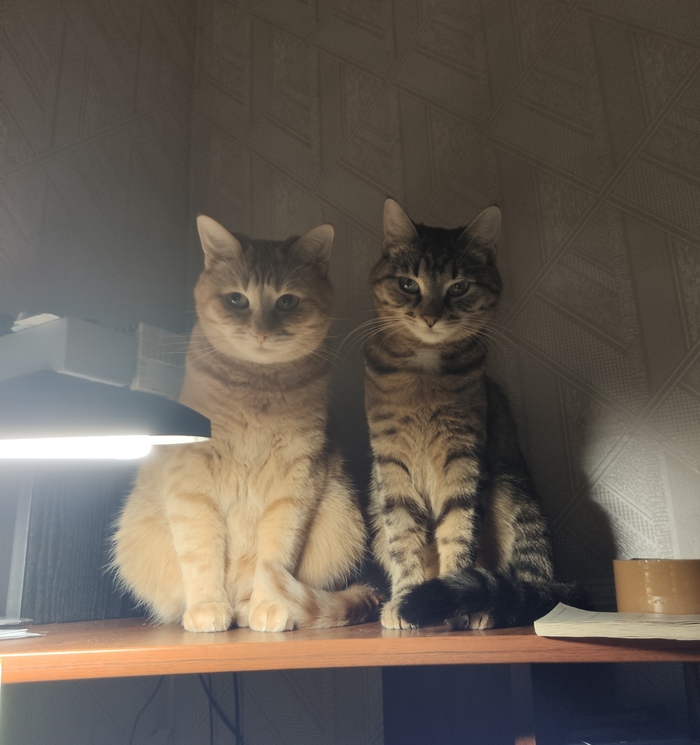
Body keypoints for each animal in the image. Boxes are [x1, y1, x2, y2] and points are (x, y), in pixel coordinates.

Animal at [112, 215, 380, 632]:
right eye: (237, 299)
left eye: (287, 301)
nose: (261, 332)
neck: (257, 388)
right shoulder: (192, 487)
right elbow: (201, 554)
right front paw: (207, 607)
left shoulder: (294, 483)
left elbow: (274, 559)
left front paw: (269, 606)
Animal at [364, 198, 576, 630]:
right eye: (408, 284)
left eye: (458, 287)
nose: (430, 316)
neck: (424, 376)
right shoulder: (391, 465)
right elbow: (403, 538)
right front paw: (407, 598)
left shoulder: (462, 458)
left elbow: (459, 530)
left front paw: (450, 599)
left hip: (513, 493)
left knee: (528, 579)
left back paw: (487, 607)